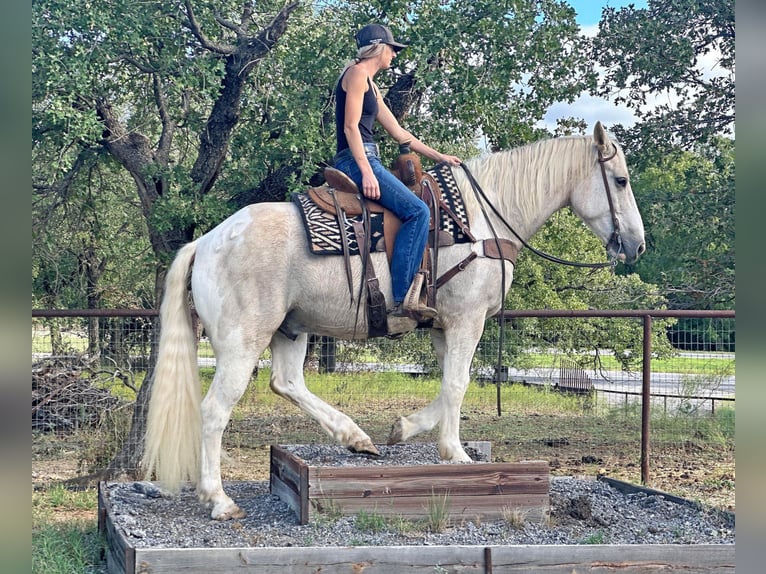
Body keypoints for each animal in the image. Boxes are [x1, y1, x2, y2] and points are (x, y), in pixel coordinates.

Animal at [141, 121, 644, 520]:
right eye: (620, 180)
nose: (636, 245)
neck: (481, 222)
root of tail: (206, 241)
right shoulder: (466, 321)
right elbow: (457, 384)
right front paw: (455, 453)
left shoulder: (443, 327)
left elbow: (448, 384)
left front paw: (405, 429)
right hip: (244, 340)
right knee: (214, 411)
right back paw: (219, 499)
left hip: (291, 328)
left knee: (287, 383)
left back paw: (356, 437)